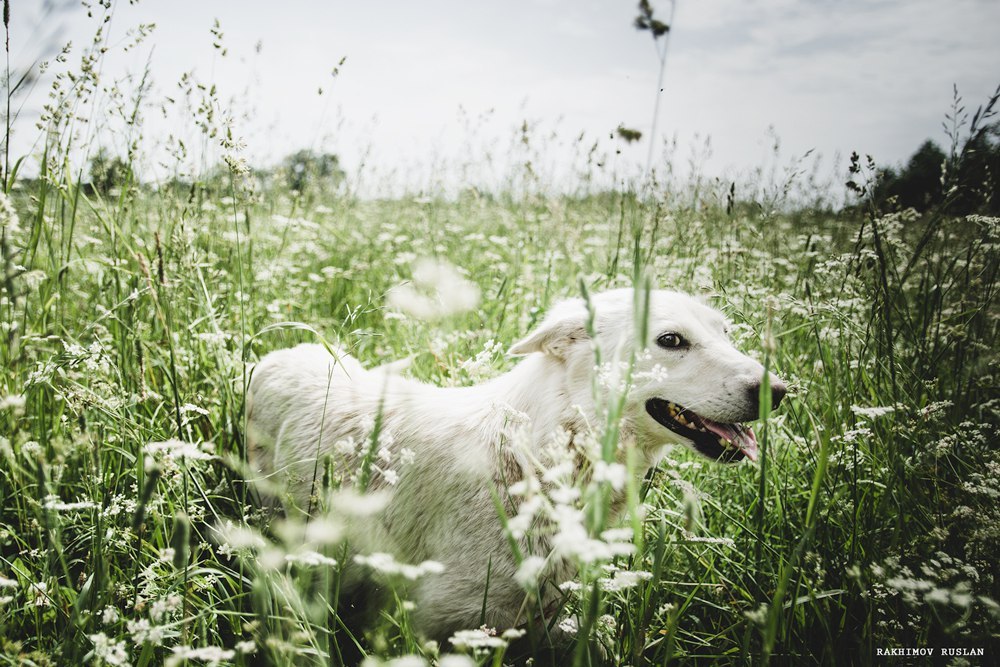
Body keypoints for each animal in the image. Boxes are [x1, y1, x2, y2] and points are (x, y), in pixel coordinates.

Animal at [246, 288, 784, 640]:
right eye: (671, 341)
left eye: (725, 332)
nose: (778, 392)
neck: (535, 459)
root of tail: (282, 352)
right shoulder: (440, 625)